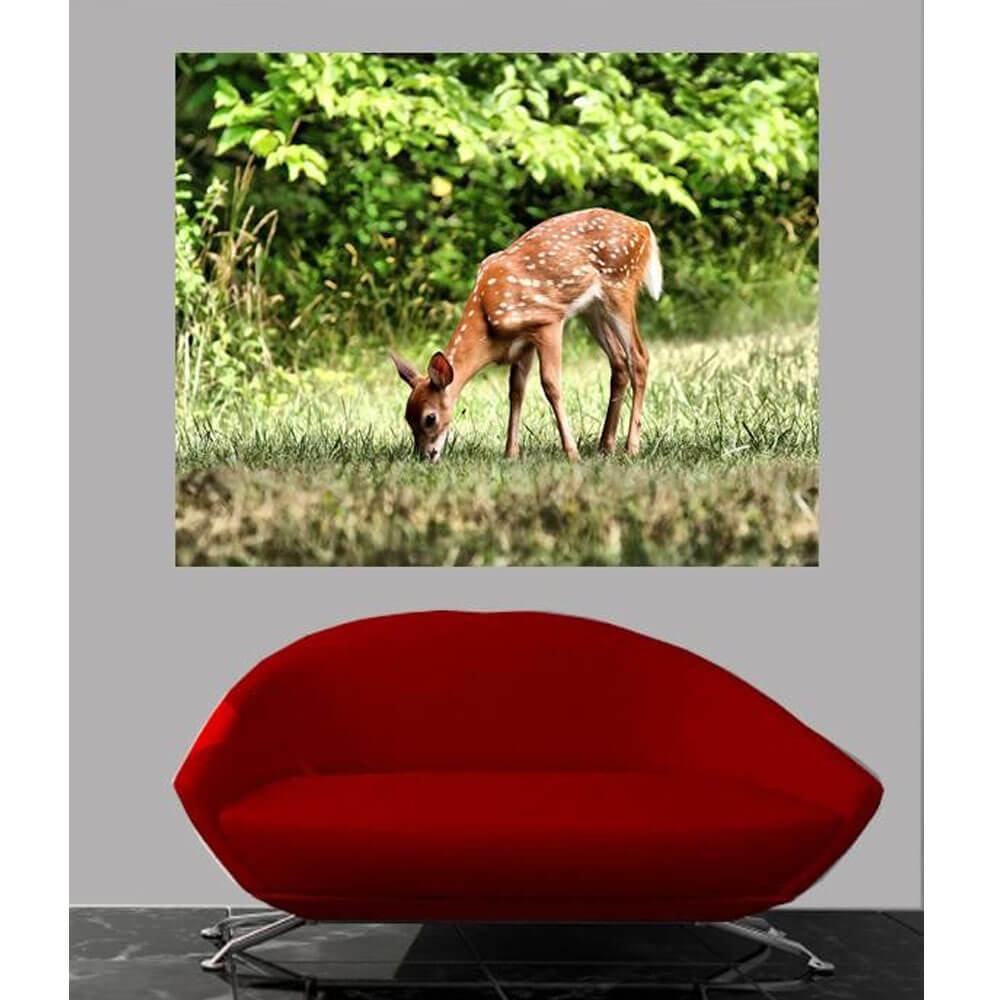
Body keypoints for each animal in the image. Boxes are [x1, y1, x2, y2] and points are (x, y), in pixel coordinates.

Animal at [390, 208, 661, 462]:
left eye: (430, 418)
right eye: (407, 418)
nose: (425, 456)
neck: (488, 319)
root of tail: (644, 228)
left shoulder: (547, 321)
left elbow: (551, 385)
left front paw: (572, 453)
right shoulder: (523, 343)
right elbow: (516, 391)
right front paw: (510, 453)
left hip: (620, 287)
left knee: (639, 357)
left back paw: (631, 448)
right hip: (592, 309)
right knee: (619, 361)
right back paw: (606, 446)